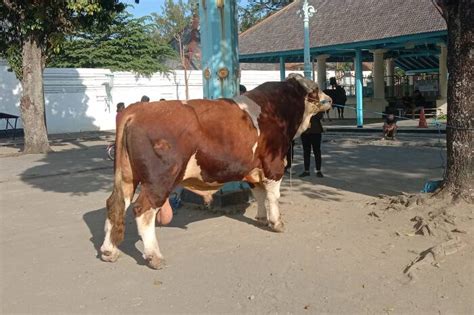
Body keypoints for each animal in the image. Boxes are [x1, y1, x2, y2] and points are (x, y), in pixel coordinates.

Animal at [101, 74, 332, 270]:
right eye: (316, 89)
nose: (329, 99)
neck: (276, 108)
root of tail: (136, 110)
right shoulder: (273, 164)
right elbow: (272, 196)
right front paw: (276, 222)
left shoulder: (252, 167)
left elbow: (258, 193)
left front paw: (260, 217)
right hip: (159, 180)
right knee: (143, 210)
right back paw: (154, 256)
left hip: (127, 177)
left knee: (115, 203)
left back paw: (108, 251)